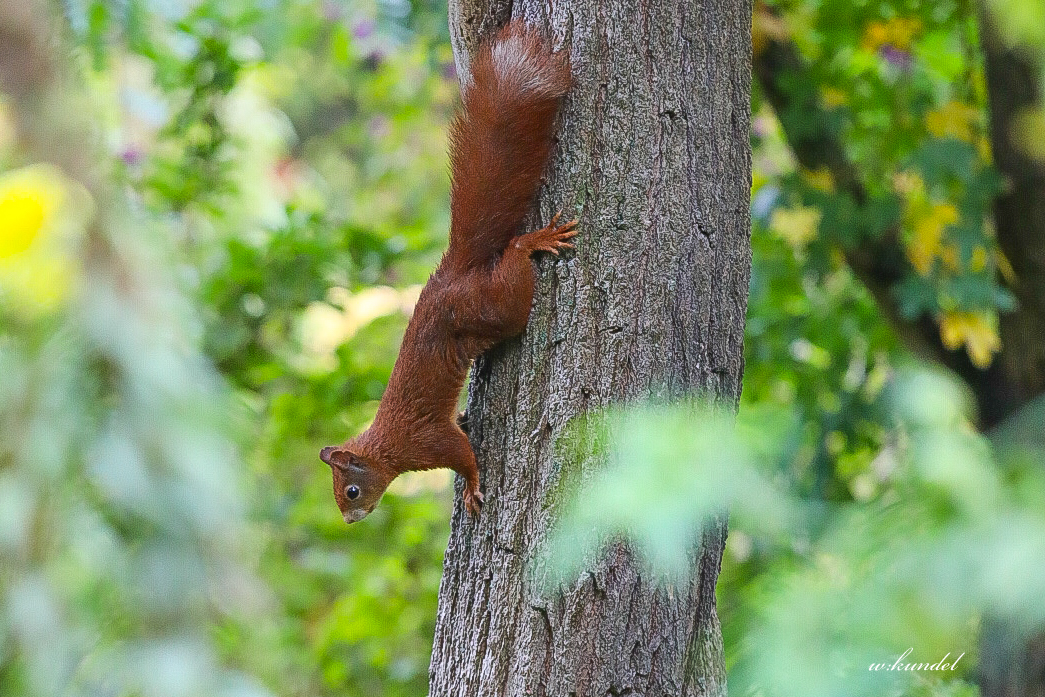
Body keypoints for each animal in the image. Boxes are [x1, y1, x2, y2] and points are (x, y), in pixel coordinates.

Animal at [321, 20, 576, 522]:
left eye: (352, 491)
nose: (349, 520)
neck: (386, 446)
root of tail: (453, 274)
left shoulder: (426, 441)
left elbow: (462, 456)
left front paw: (473, 487)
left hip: (492, 308)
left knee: (514, 264)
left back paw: (533, 241)